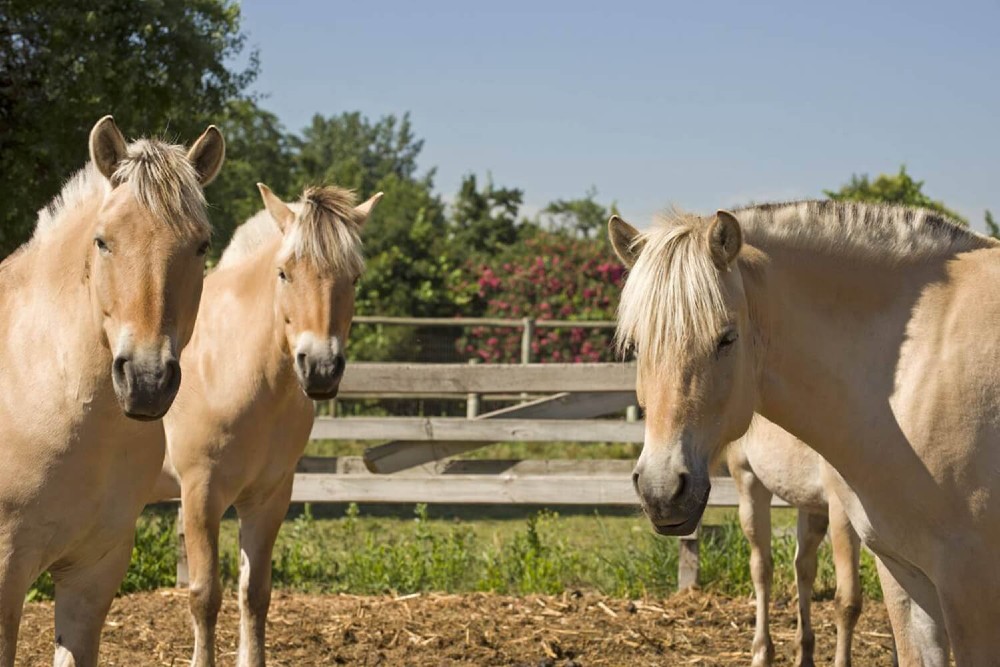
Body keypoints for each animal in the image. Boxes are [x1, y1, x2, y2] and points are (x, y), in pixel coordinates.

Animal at [156, 183, 382, 667]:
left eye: (354, 277)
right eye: (284, 273)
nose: (320, 368)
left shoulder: (269, 497)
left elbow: (255, 594)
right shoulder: (200, 494)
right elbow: (205, 596)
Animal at [724, 418, 864, 667]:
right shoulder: (844, 513)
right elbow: (848, 603)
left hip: (809, 504)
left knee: (803, 568)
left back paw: (804, 652)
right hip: (748, 481)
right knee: (762, 568)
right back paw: (762, 653)